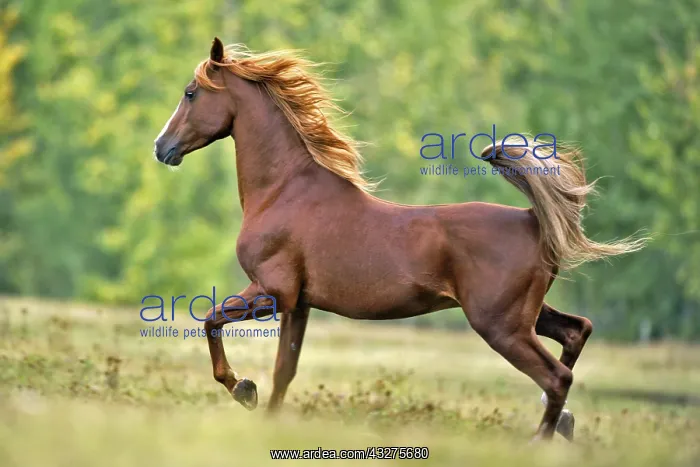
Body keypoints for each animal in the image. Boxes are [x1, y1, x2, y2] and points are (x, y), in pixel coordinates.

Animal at [153, 37, 645, 442]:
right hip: (525, 315)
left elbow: (210, 321)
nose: (162, 148)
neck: (284, 192)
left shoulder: (272, 291)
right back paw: (563, 423)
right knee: (576, 333)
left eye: (191, 92)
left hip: (500, 326)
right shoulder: (299, 303)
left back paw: (539, 440)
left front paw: (243, 389)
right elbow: (283, 372)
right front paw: (266, 416)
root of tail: (531, 219)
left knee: (556, 377)